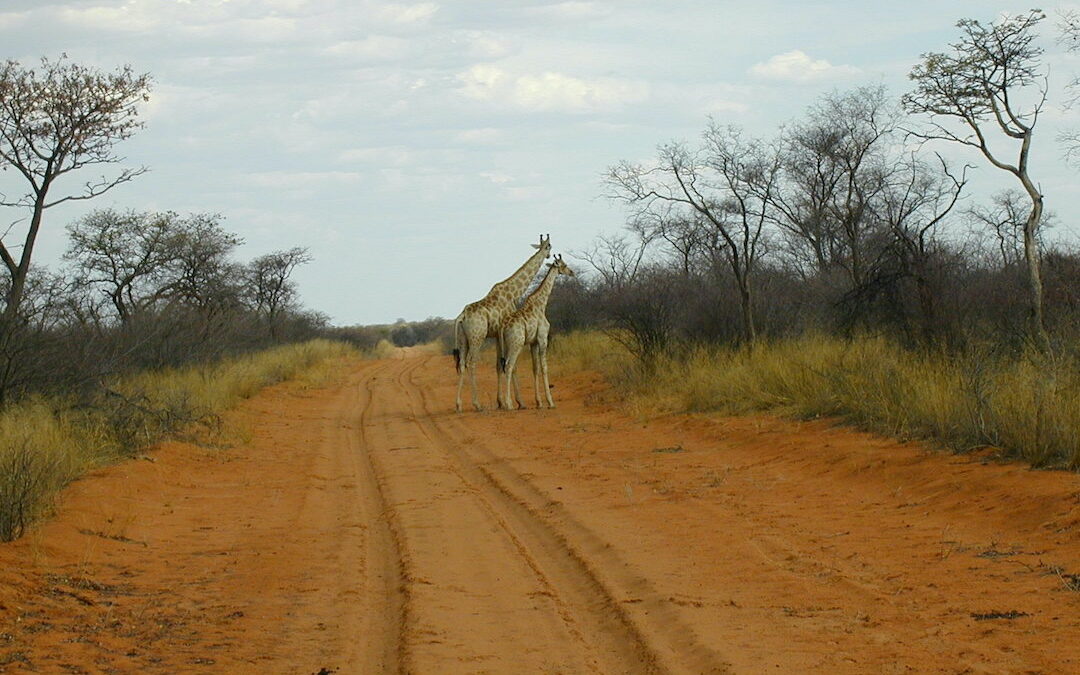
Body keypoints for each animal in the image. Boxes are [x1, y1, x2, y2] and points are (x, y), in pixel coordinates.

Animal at [451, 231, 548, 410]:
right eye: (549, 246)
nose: (550, 255)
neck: (514, 292)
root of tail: (462, 316)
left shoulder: (497, 335)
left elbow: (498, 365)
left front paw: (501, 402)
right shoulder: (507, 334)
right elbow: (511, 366)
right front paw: (518, 402)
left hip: (463, 338)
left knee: (461, 363)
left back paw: (459, 405)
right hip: (477, 337)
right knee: (471, 363)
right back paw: (477, 404)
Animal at [496, 254, 574, 408]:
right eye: (564, 264)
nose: (572, 272)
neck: (541, 304)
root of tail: (503, 326)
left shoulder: (533, 342)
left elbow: (535, 368)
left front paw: (539, 402)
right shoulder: (543, 339)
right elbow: (544, 367)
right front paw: (550, 402)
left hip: (505, 345)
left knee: (502, 366)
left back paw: (506, 403)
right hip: (516, 344)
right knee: (509, 366)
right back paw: (509, 404)